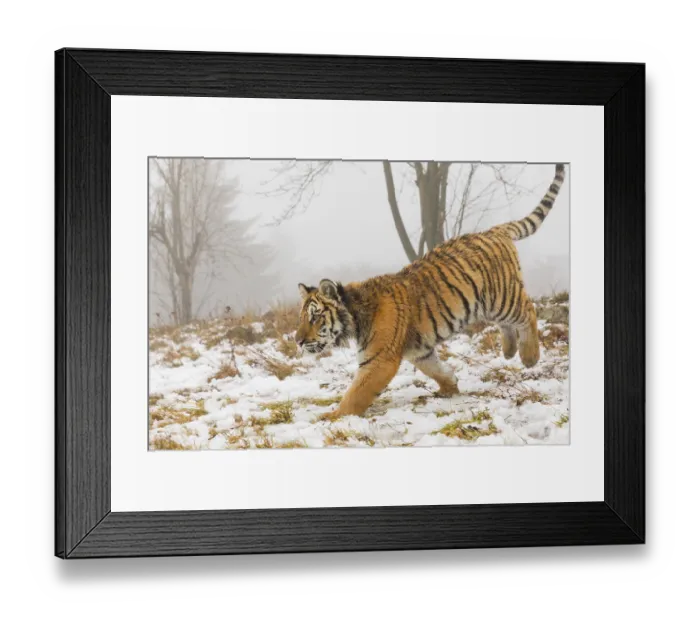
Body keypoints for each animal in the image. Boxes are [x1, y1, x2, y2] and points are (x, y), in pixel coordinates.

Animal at [295, 163, 566, 419]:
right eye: (302, 318)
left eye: (315, 317)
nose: (297, 341)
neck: (356, 315)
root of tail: (493, 230)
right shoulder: (420, 350)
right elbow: (437, 369)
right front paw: (450, 387)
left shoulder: (379, 359)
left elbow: (355, 394)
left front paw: (332, 416)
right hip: (489, 305)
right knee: (508, 323)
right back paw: (509, 351)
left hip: (502, 297)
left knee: (528, 311)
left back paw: (529, 357)